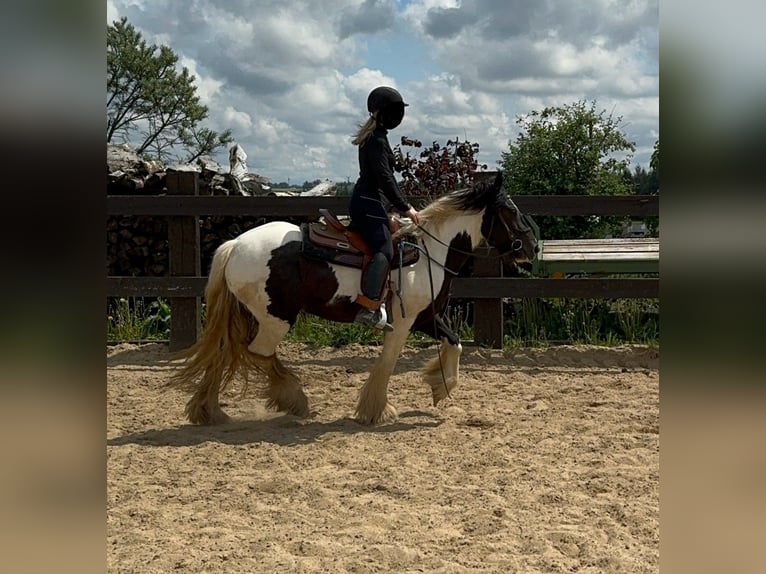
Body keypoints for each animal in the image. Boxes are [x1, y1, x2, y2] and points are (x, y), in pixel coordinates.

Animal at [168, 171, 540, 428]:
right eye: (509, 210)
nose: (532, 247)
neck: (429, 252)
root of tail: (234, 246)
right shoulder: (402, 322)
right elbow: (388, 362)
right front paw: (376, 410)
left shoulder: (425, 317)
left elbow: (456, 343)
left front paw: (440, 387)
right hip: (276, 319)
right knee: (256, 353)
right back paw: (293, 399)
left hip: (252, 316)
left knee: (226, 352)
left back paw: (209, 410)